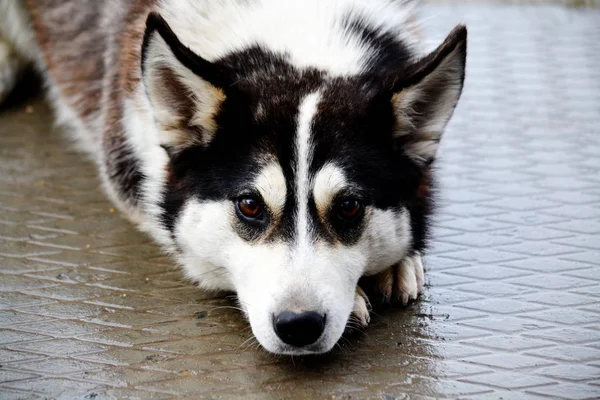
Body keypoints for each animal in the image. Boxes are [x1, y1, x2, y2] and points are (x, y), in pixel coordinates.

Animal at [0, 0, 466, 356]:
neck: (292, 28)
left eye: (349, 206)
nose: (299, 325)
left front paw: (398, 261)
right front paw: (354, 300)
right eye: (250, 205)